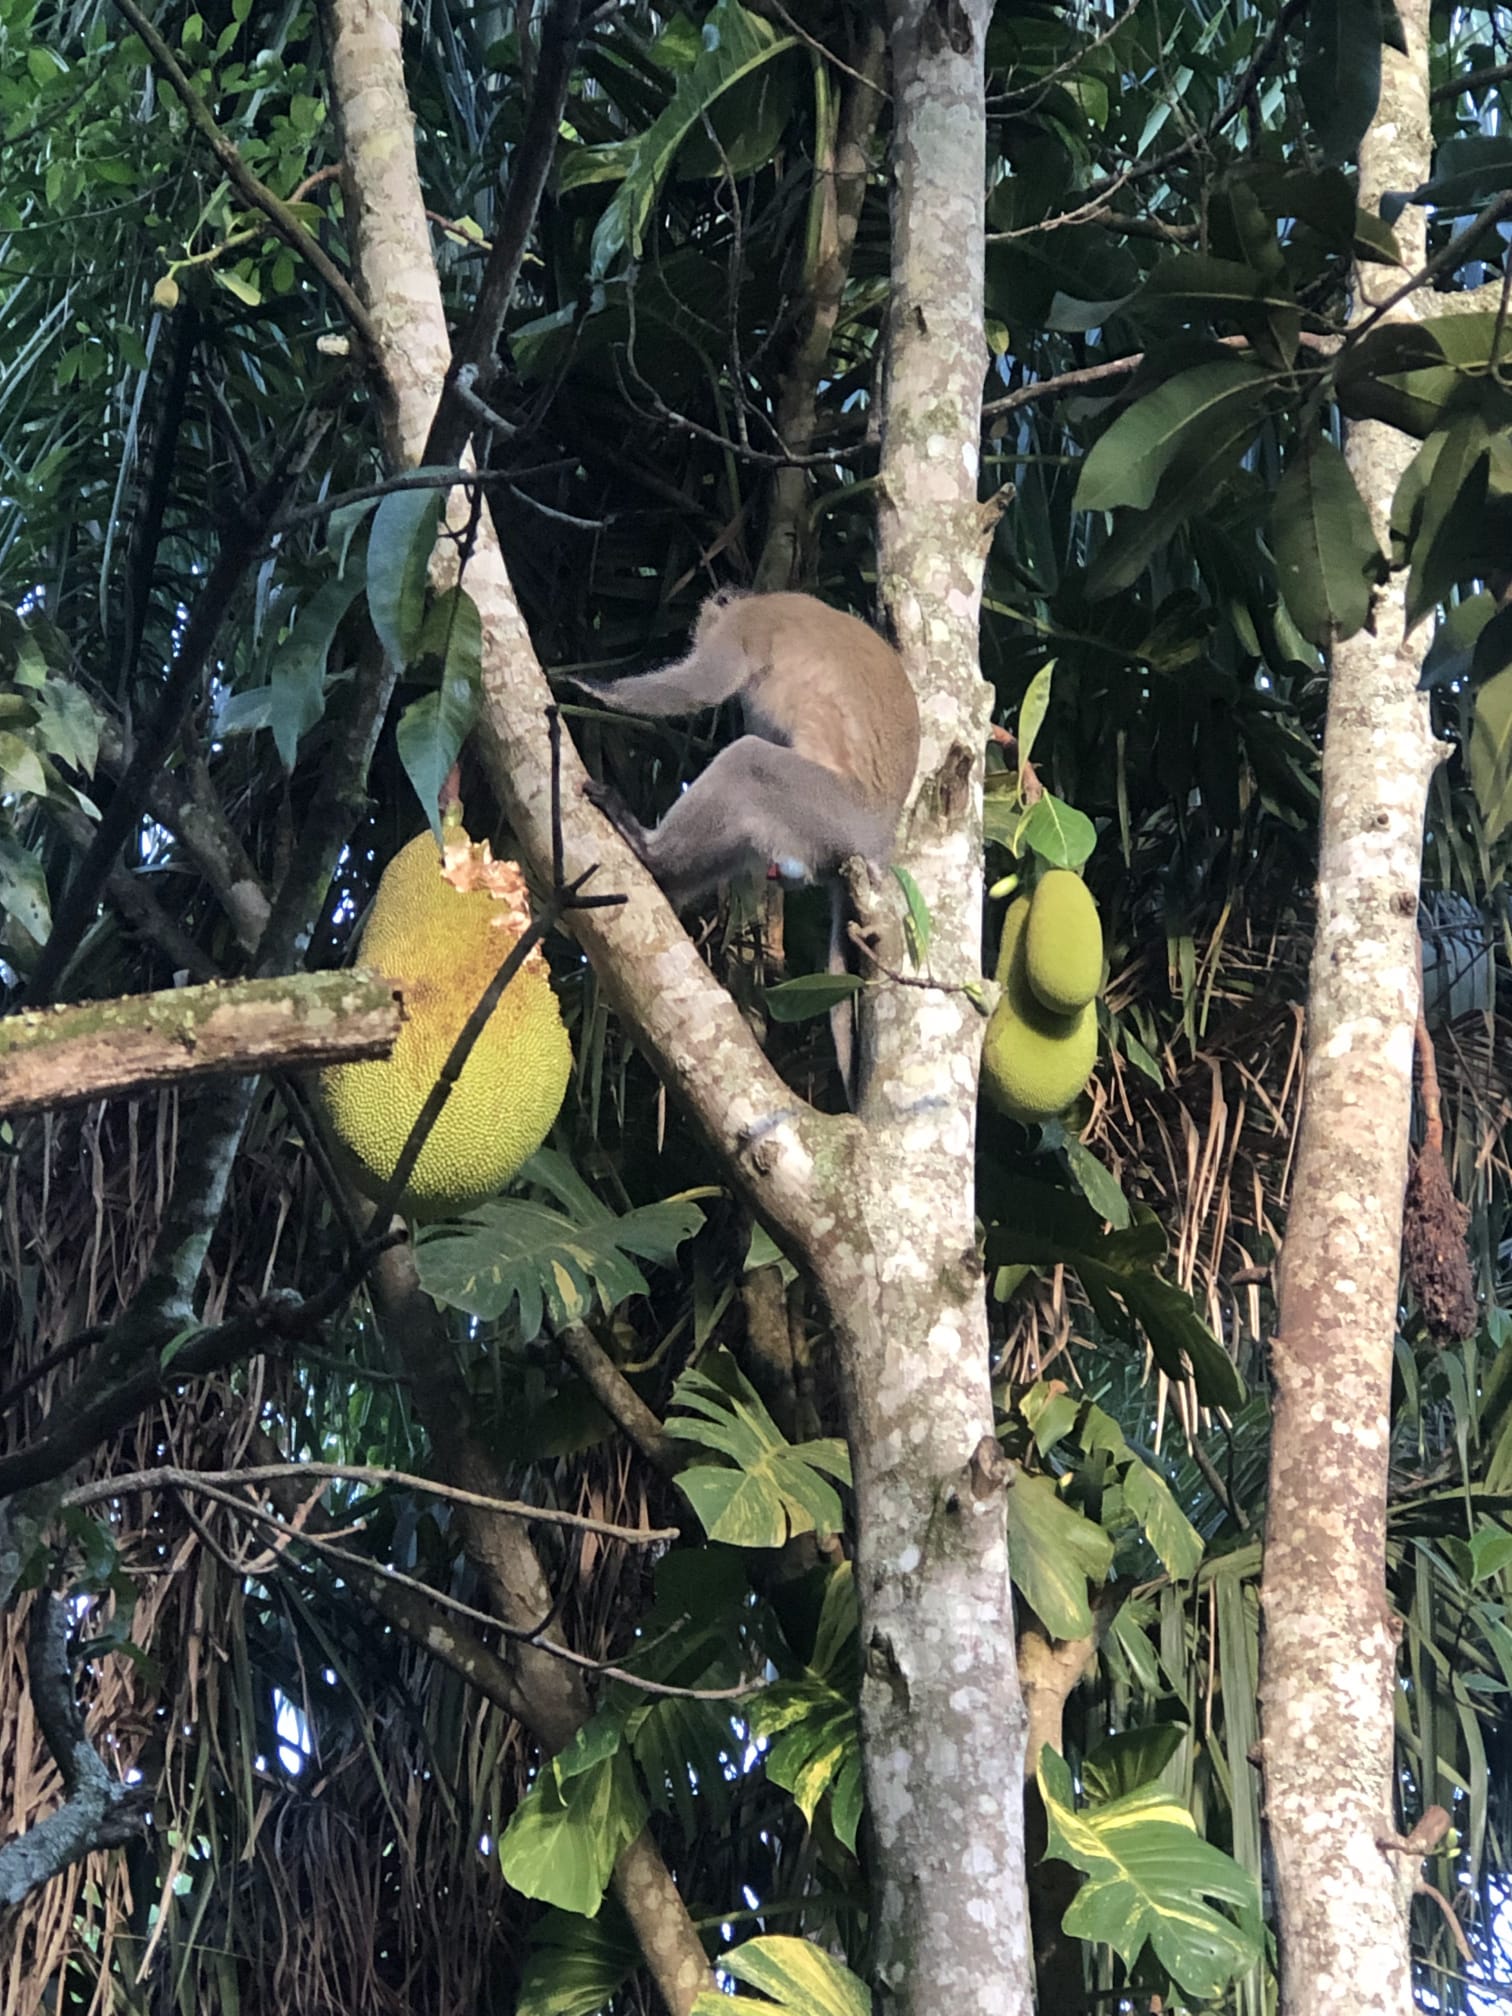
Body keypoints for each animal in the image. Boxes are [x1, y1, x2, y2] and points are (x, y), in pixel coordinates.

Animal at [567, 587, 921, 1094]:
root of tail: (878, 843)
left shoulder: (746, 626)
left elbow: (700, 688)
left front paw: (585, 686)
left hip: (832, 812)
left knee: (748, 762)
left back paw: (650, 853)